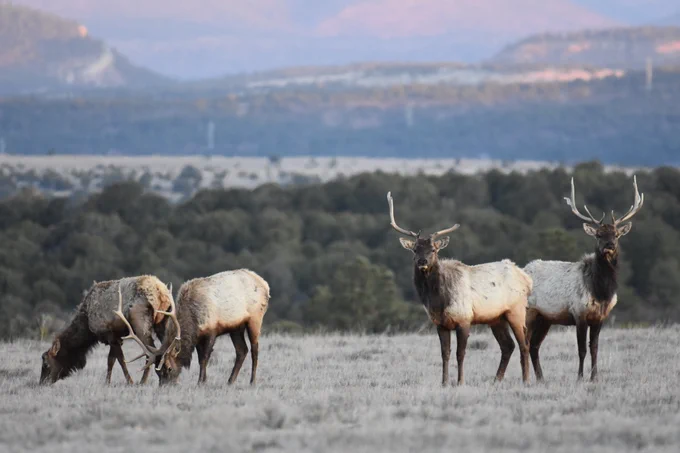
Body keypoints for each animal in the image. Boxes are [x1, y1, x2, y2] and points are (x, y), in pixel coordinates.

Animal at [39, 275, 177, 385]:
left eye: (46, 364)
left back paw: (144, 381)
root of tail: (161, 292)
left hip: (141, 323)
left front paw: (130, 382)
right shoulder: (117, 337)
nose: (41, 383)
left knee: (150, 352)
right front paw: (107, 382)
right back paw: (169, 376)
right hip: (163, 321)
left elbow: (119, 360)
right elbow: (111, 360)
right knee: (168, 347)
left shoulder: (109, 334)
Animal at [387, 192, 533, 386]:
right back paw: (496, 380)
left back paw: (526, 380)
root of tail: (526, 278)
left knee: (524, 344)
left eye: (433, 250)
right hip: (496, 317)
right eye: (415, 250)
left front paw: (460, 382)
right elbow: (445, 354)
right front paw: (444, 382)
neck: (438, 301)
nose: (422, 262)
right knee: (508, 345)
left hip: (516, 310)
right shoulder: (440, 323)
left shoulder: (464, 318)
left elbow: (460, 353)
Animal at [524, 175, 644, 382]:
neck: (600, 291)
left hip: (545, 318)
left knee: (534, 345)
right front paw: (580, 377)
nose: (609, 246)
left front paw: (594, 377)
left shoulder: (600, 317)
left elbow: (594, 348)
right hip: (529, 312)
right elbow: (581, 350)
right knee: (524, 343)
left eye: (616, 234)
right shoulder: (579, 313)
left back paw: (541, 378)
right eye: (598, 235)